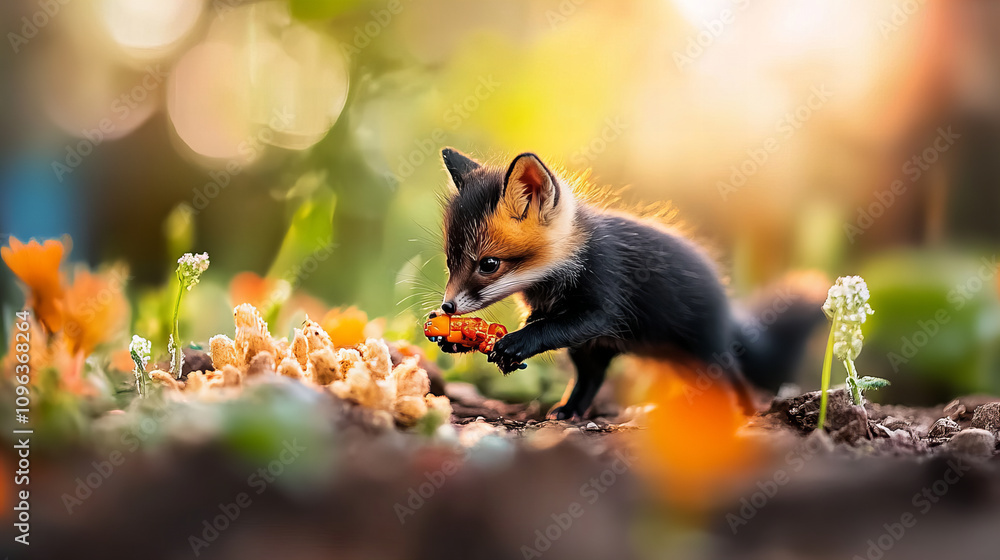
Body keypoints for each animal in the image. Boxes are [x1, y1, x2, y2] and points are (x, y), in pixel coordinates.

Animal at [434, 147, 825, 420]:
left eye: (489, 265)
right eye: (450, 262)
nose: (446, 307)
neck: (555, 276)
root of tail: (728, 305)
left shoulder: (601, 306)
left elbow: (545, 329)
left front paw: (515, 344)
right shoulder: (569, 324)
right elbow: (537, 326)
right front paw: (455, 338)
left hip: (705, 350)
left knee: (734, 376)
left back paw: (743, 412)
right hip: (602, 352)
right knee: (590, 380)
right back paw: (570, 411)